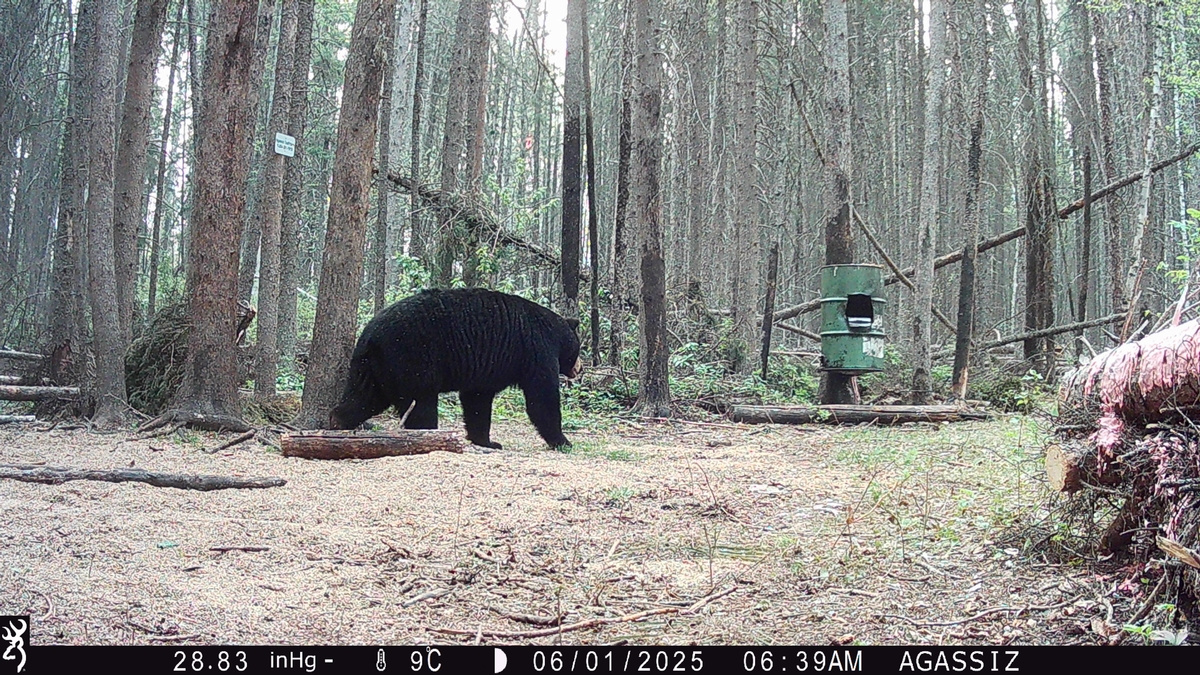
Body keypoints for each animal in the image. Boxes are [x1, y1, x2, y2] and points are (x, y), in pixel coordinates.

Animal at [329, 288, 582, 449]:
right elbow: (542, 397)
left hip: (371, 367)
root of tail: (370, 334)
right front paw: (563, 441)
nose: (579, 369)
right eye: (579, 348)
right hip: (412, 358)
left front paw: (488, 441)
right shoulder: (537, 351)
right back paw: (427, 436)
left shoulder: (486, 370)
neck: (556, 334)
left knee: (363, 397)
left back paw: (338, 424)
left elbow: (477, 401)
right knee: (421, 403)